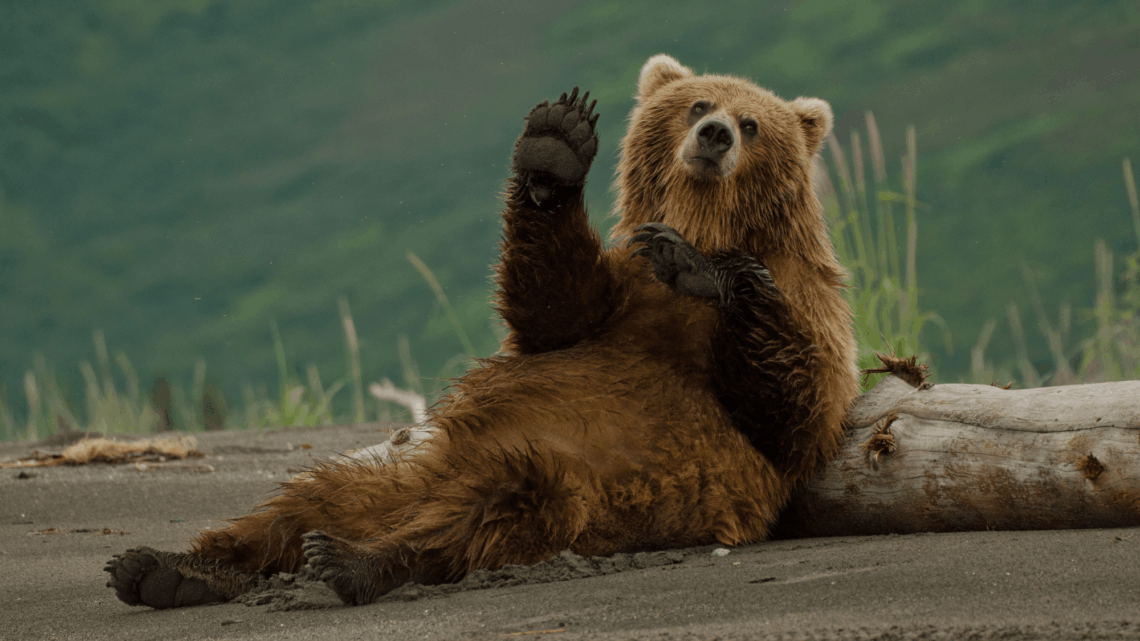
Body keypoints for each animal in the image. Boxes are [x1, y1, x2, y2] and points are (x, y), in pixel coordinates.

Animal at [104, 54, 858, 608]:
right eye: (699, 105)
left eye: (752, 122)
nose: (715, 136)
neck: (708, 220)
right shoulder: (616, 298)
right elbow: (552, 304)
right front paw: (556, 145)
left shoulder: (806, 309)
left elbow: (794, 405)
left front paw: (705, 270)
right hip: (395, 473)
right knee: (297, 501)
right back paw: (165, 566)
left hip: (573, 483)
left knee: (488, 511)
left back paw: (351, 559)